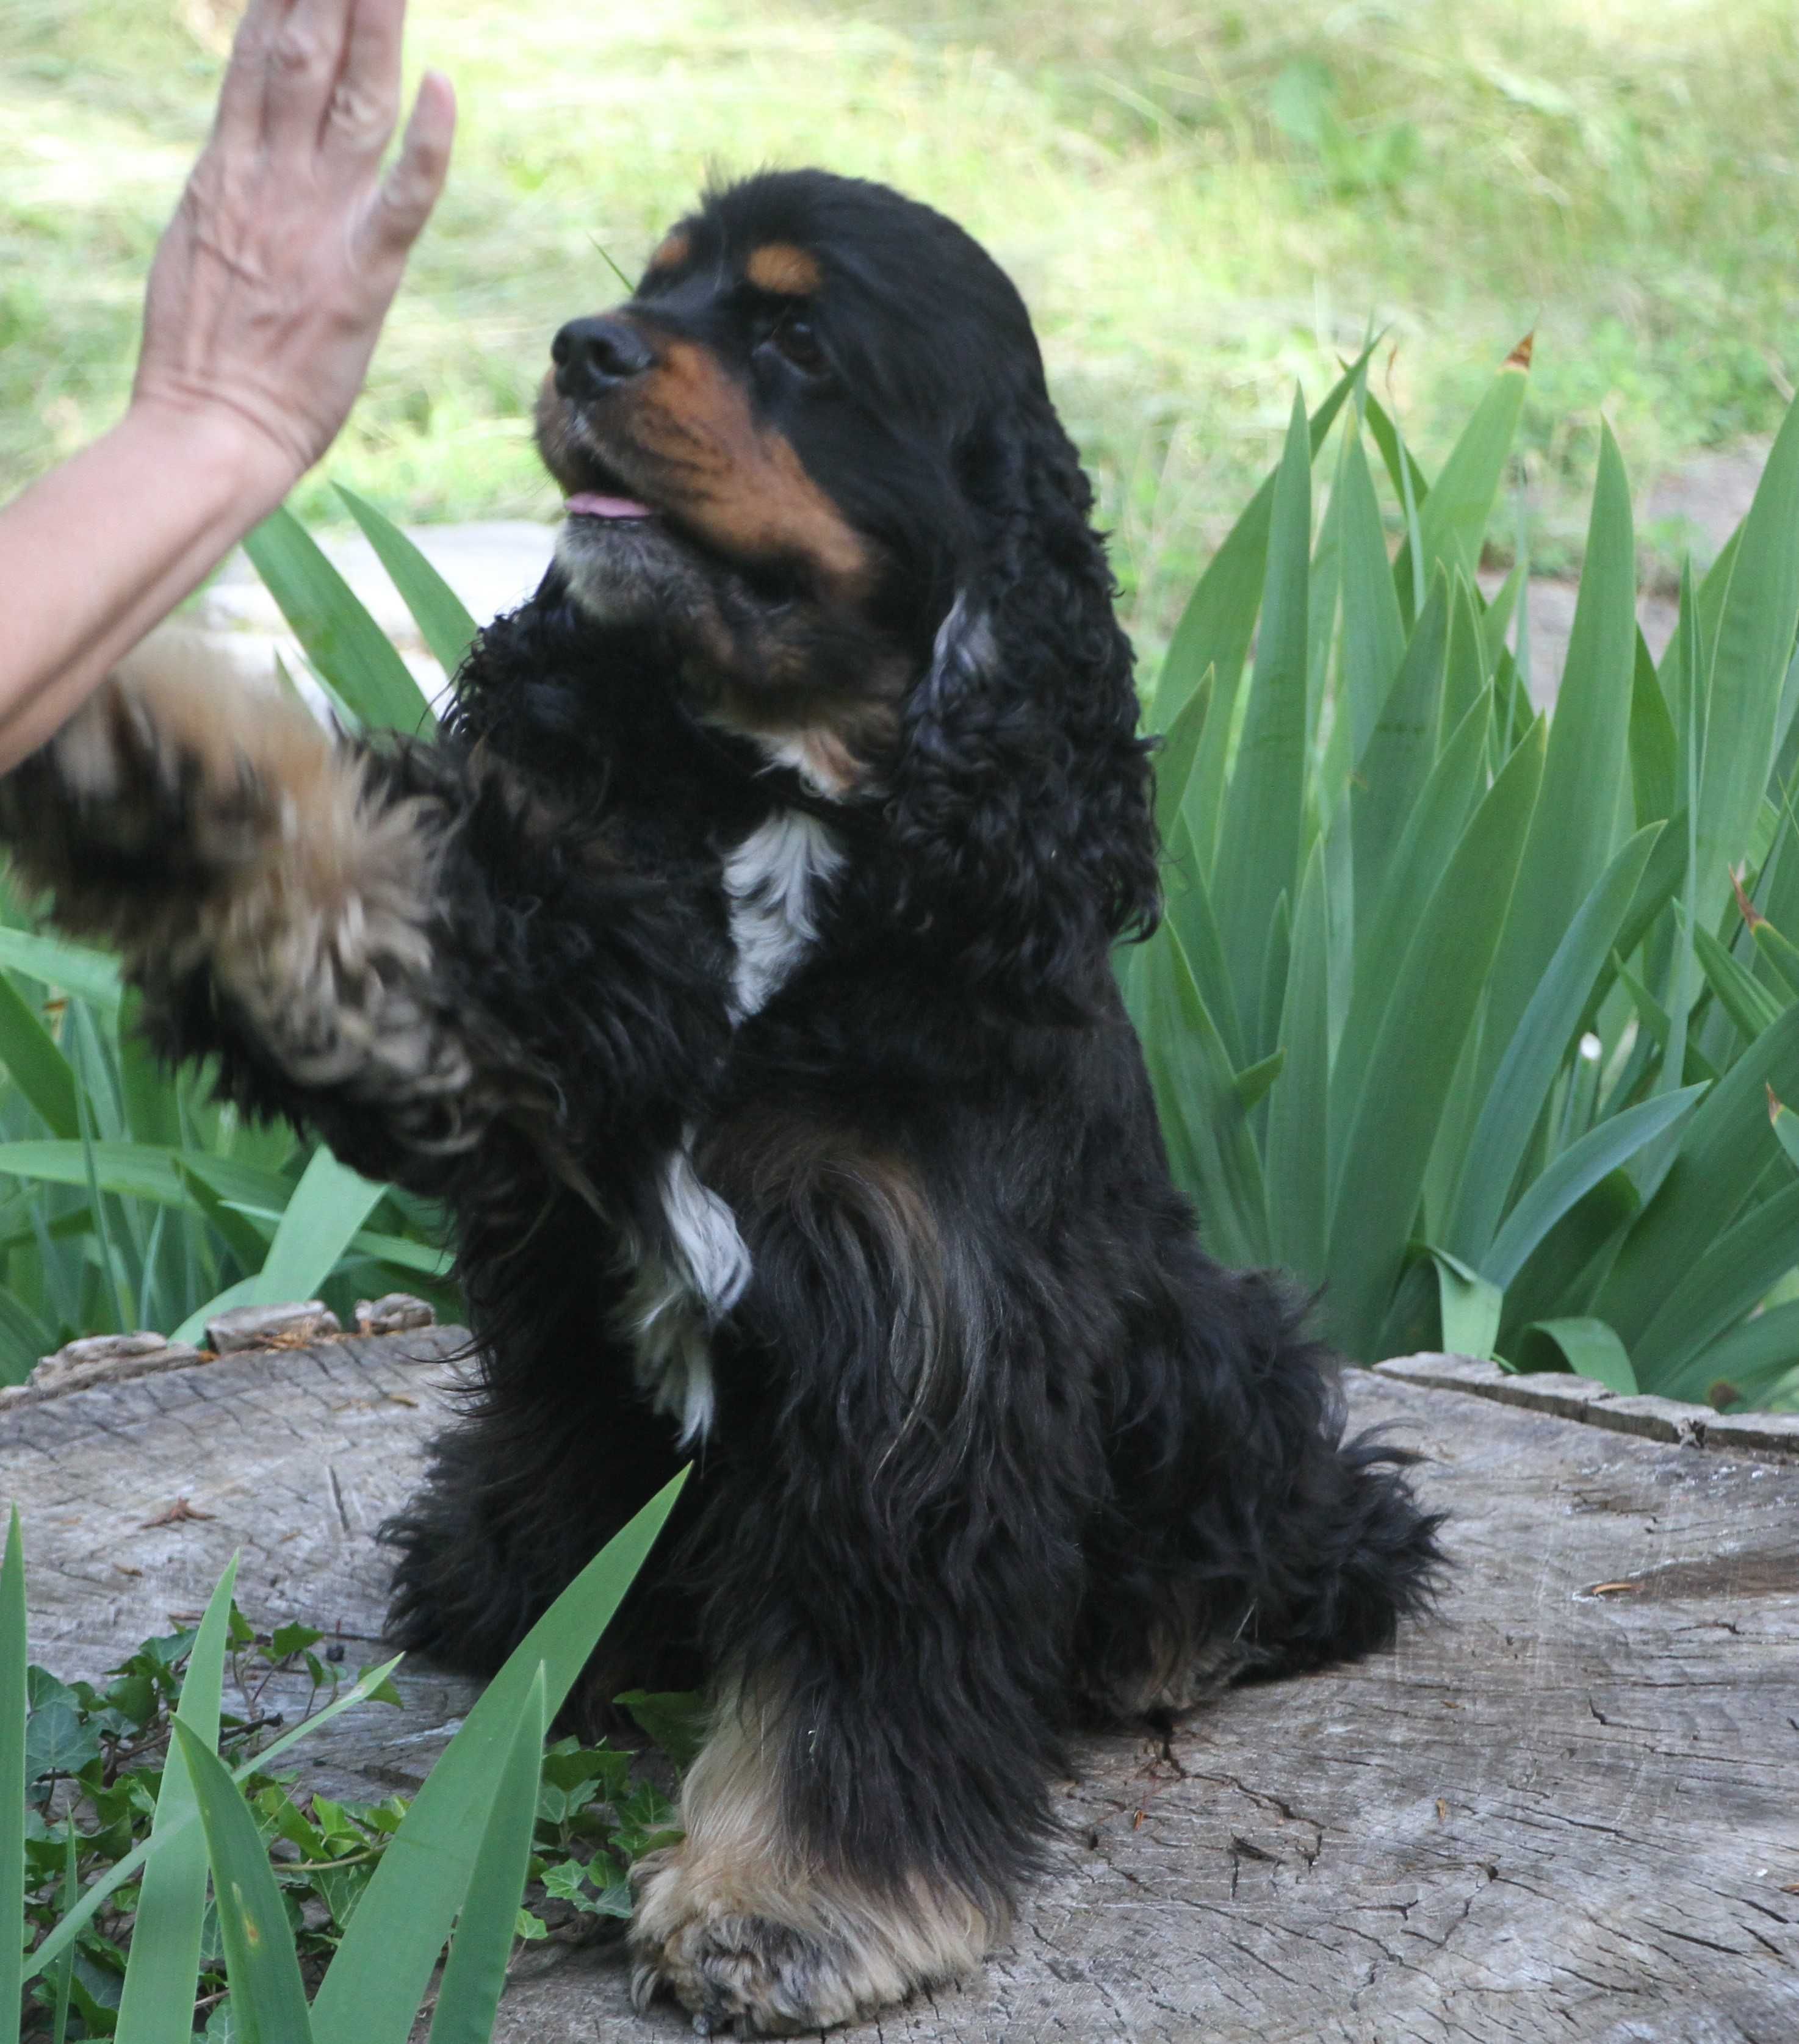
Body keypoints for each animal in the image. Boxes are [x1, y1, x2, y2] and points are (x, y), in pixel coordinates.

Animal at [0, 167, 1431, 2035]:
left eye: (798, 339)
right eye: (657, 283)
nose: (580, 348)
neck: (790, 816)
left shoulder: (923, 1324)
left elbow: (864, 1656)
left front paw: (796, 1907)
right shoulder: (538, 1014)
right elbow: (363, 896)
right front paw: (155, 762)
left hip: (1215, 1331)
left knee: (1336, 1522)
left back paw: (1170, 1627)